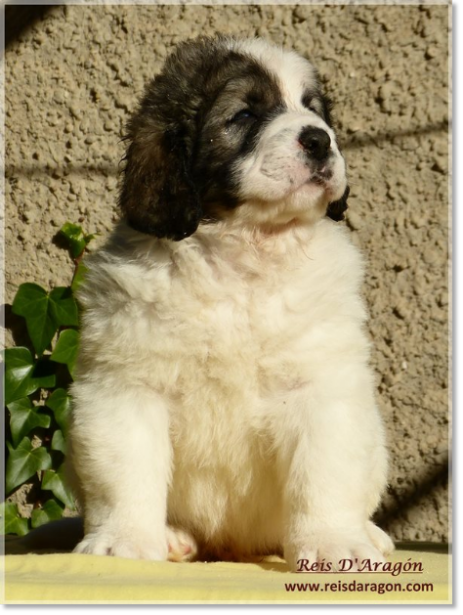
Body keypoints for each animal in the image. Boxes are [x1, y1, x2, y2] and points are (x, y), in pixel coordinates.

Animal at [68, 36, 396, 572]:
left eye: (312, 108)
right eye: (243, 115)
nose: (319, 139)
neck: (244, 258)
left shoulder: (320, 385)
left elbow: (323, 472)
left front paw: (334, 544)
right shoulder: (128, 384)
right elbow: (126, 470)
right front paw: (124, 542)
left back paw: (368, 533)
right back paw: (173, 537)